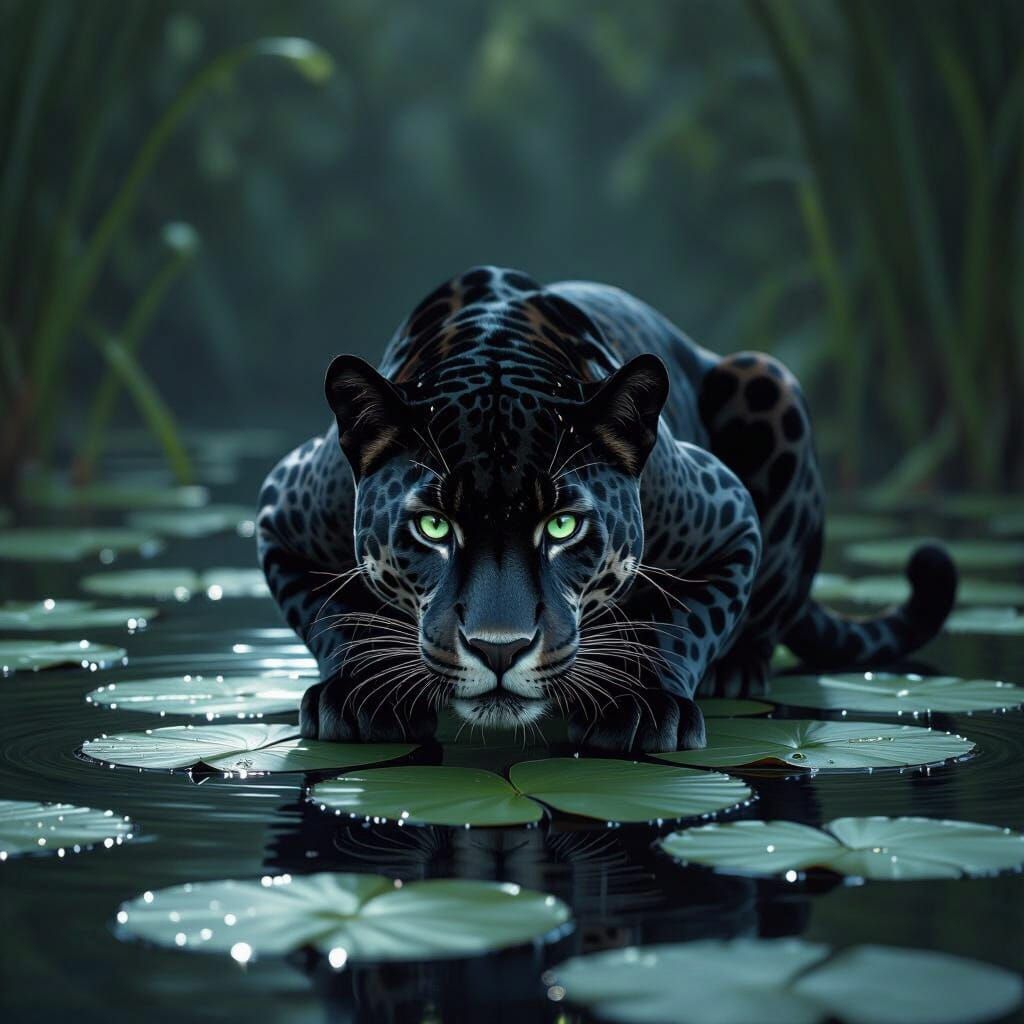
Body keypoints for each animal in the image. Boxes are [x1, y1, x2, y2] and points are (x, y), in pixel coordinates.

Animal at [257, 266, 956, 753]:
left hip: (768, 376)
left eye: (563, 525)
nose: (500, 650)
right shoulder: (282, 514)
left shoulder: (731, 516)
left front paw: (642, 705)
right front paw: (364, 694)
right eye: (432, 526)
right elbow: (333, 614)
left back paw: (736, 672)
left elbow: (681, 619)